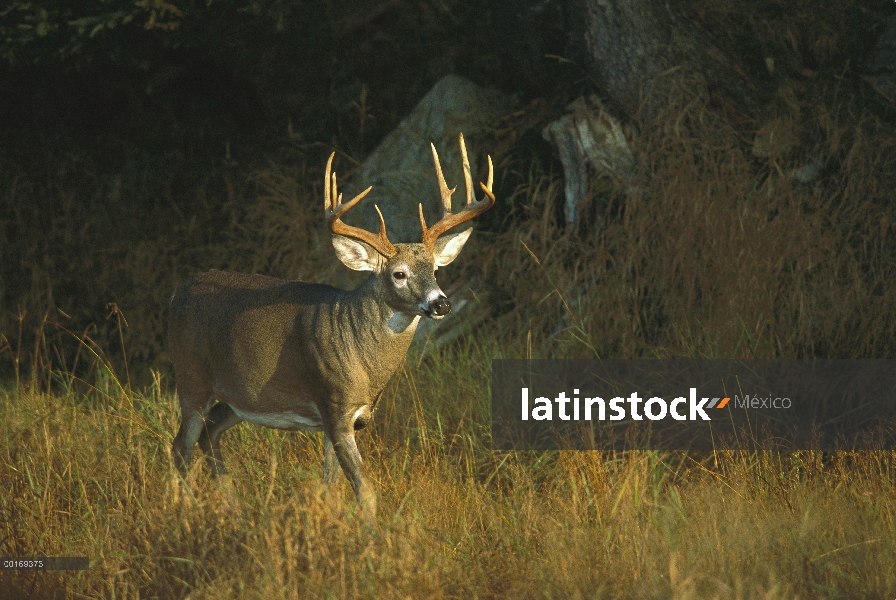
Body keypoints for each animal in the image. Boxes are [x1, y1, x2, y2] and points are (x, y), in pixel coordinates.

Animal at [168, 134, 496, 516]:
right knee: (180, 447)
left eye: (434, 269)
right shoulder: (334, 406)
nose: (441, 303)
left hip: (238, 397)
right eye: (399, 274)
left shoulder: (352, 418)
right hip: (191, 377)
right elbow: (364, 489)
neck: (362, 357)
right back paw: (180, 512)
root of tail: (177, 293)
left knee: (209, 434)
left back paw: (233, 510)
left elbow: (329, 485)